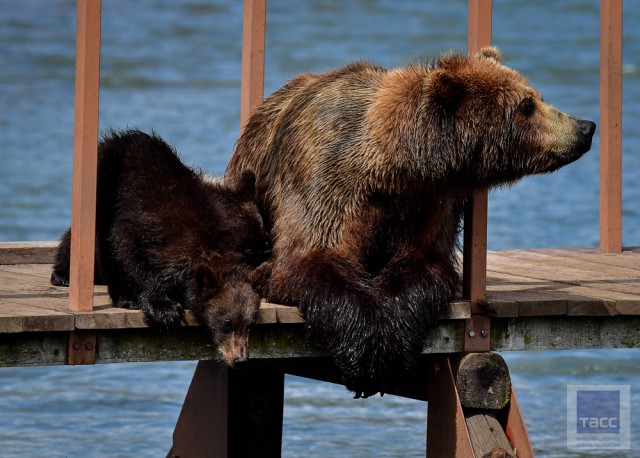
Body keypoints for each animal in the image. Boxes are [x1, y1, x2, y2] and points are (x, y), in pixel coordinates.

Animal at [52, 130, 268, 368]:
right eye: (226, 323)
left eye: (251, 325)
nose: (240, 359)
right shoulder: (145, 227)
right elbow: (129, 254)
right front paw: (163, 309)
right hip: (104, 188)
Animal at [226, 46, 596, 396]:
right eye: (527, 105)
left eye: (537, 96)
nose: (585, 127)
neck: (399, 165)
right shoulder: (330, 181)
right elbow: (314, 258)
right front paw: (369, 354)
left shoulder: (426, 202)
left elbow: (421, 263)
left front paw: (395, 341)